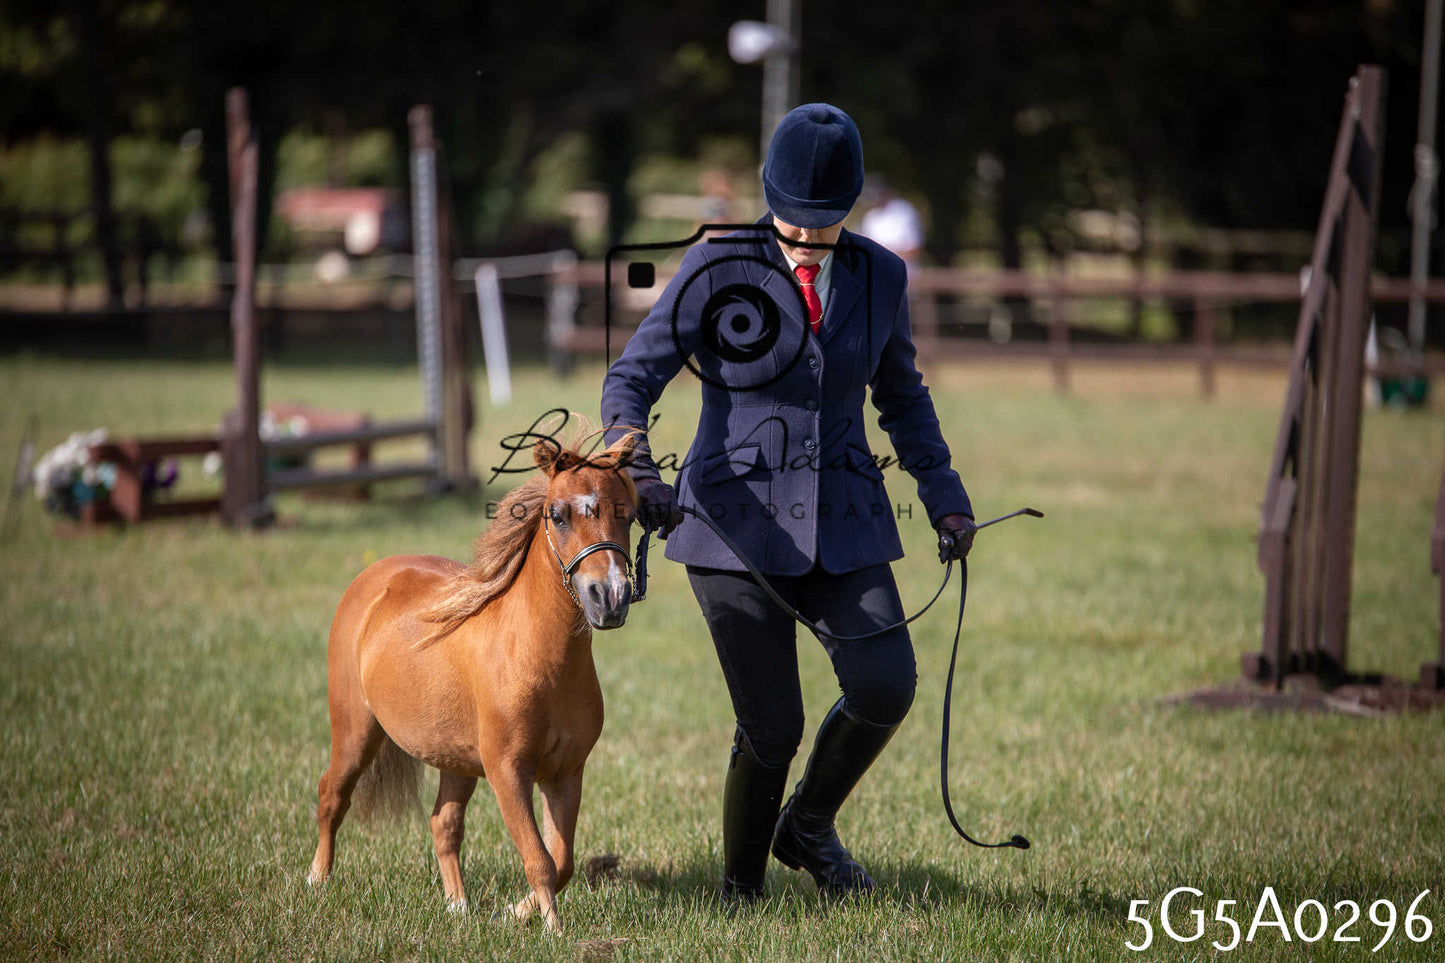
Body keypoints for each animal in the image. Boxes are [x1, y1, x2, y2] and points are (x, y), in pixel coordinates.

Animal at [306, 428, 639, 933]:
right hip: (356, 732)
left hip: (455, 760)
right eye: (557, 515)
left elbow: (561, 863)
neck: (535, 658)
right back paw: (318, 880)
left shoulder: (565, 773)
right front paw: (553, 931)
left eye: (628, 514)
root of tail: (372, 578)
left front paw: (513, 912)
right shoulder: (507, 773)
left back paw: (458, 905)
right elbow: (540, 860)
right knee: (332, 796)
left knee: (443, 824)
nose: (611, 598)